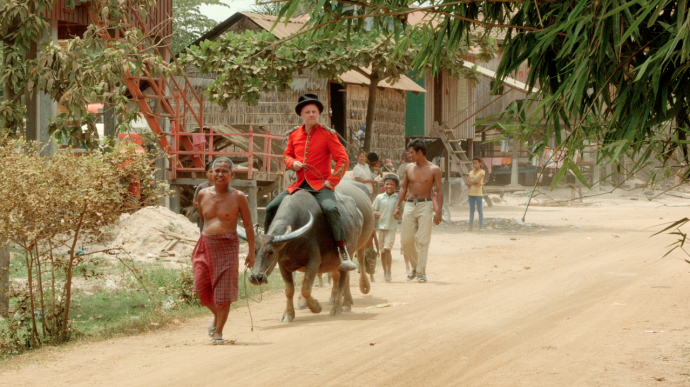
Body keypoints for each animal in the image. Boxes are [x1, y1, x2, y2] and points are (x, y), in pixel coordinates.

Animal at [238, 179, 376, 322]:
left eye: (270, 252)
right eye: (253, 251)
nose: (256, 277)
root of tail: (358, 214)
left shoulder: (314, 261)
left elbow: (306, 288)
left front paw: (316, 307)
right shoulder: (283, 264)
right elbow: (289, 290)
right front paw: (288, 314)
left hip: (349, 253)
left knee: (344, 278)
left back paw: (339, 307)